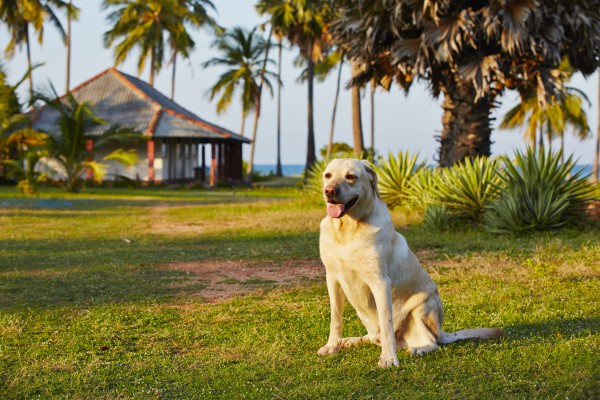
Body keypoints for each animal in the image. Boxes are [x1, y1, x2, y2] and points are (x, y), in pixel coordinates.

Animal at [316, 158, 504, 368]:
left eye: (350, 176)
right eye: (328, 175)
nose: (329, 191)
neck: (347, 230)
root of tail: (442, 332)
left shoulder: (380, 283)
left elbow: (386, 322)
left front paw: (389, 358)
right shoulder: (332, 279)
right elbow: (335, 318)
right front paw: (332, 346)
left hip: (423, 305)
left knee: (431, 342)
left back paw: (418, 349)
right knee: (375, 337)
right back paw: (351, 340)